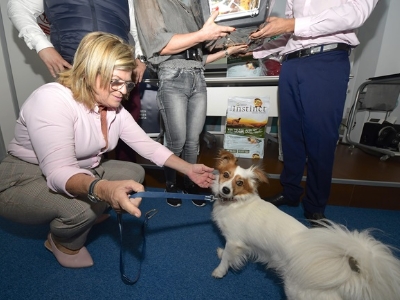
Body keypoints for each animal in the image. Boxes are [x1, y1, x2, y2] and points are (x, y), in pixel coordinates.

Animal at [211, 150, 400, 300]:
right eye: (226, 175)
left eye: (240, 183)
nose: (225, 190)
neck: (236, 202)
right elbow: (227, 254)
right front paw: (221, 253)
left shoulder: (234, 241)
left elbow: (227, 258)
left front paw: (219, 271)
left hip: (297, 291)